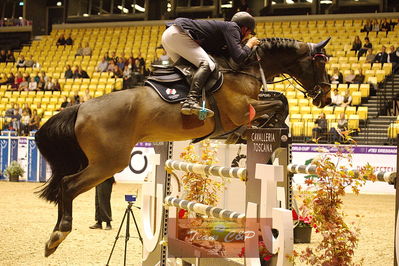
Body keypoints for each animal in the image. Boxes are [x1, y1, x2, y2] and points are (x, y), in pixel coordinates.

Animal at [36, 36, 332, 256]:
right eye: (320, 64)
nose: (326, 99)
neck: (243, 68)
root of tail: (80, 107)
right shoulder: (242, 109)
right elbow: (280, 103)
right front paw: (268, 126)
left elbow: (280, 101)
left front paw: (256, 130)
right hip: (108, 162)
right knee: (68, 185)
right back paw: (56, 236)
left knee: (66, 185)